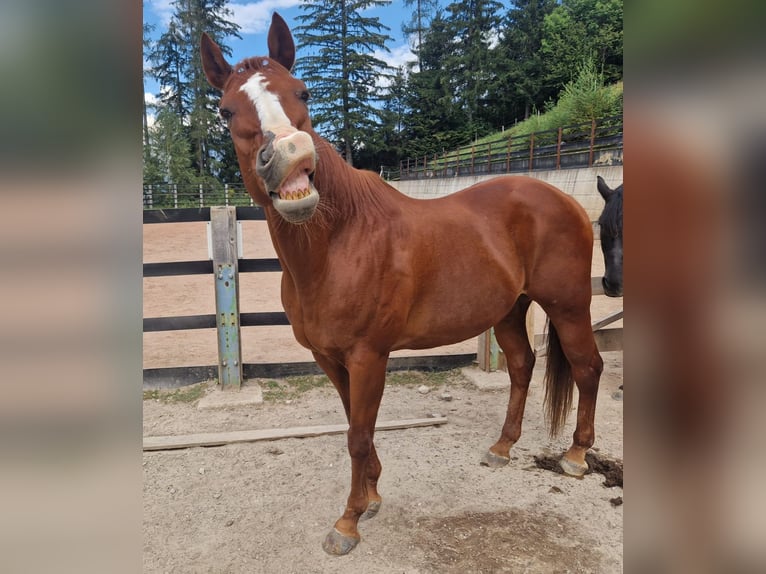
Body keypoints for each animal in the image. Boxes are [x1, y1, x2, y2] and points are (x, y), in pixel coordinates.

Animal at [202, 14, 608, 560]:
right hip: (508, 309)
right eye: (226, 110)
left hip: (568, 306)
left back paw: (576, 455)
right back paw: (502, 447)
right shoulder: (329, 358)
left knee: (587, 367)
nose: (289, 154)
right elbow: (356, 425)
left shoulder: (368, 356)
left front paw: (349, 521)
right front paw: (371, 495)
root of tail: (565, 201)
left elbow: (357, 433)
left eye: (302, 92)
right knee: (523, 366)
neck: (339, 242)